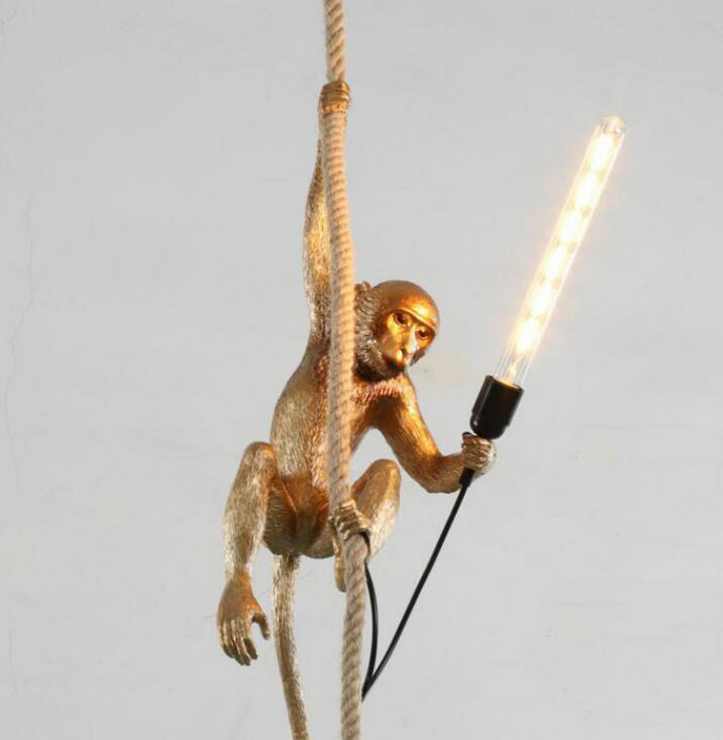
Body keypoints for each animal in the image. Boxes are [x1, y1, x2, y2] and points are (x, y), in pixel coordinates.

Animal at [216, 144, 497, 671]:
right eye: (402, 320)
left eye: (423, 332)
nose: (408, 346)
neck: (362, 368)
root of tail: (295, 549)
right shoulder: (330, 315)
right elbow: (317, 235)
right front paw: (332, 120)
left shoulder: (400, 389)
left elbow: (424, 470)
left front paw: (477, 456)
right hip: (279, 525)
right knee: (259, 456)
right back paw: (238, 595)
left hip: (320, 531)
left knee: (387, 469)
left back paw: (351, 561)